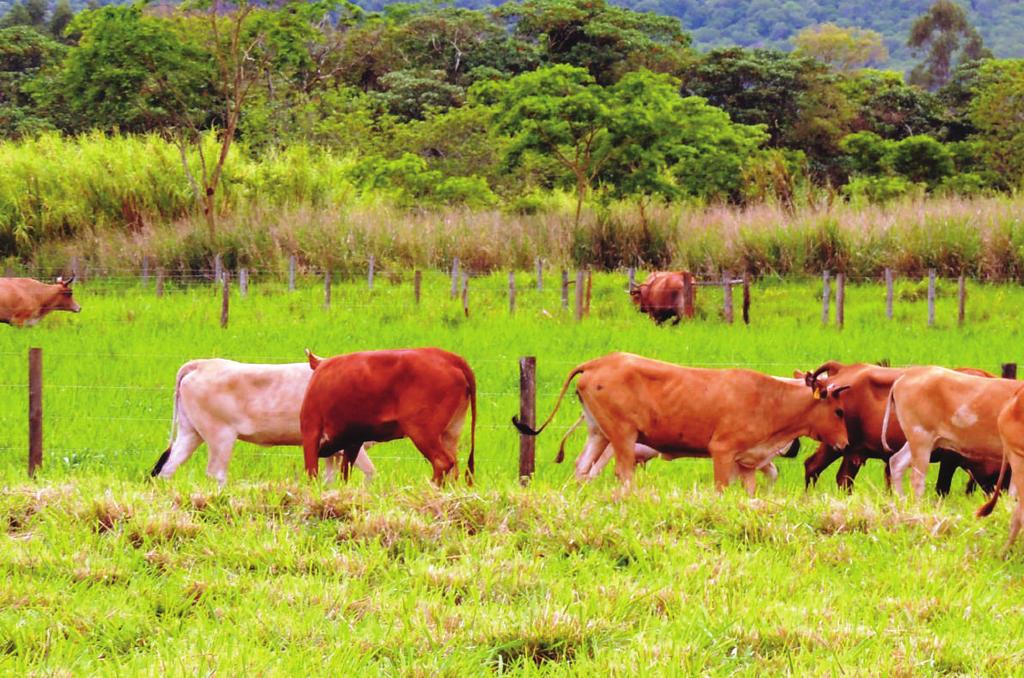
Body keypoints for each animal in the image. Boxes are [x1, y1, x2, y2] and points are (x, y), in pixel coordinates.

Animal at [148, 358, 376, 485]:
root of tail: (203, 364)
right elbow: (371, 473)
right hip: (220, 436)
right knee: (216, 474)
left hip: (190, 433)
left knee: (168, 467)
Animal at [512, 356, 847, 493]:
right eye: (839, 411)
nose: (844, 443)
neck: (770, 398)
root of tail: (596, 362)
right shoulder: (722, 452)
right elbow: (721, 489)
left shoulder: (749, 463)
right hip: (622, 435)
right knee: (621, 473)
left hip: (598, 433)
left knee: (582, 469)